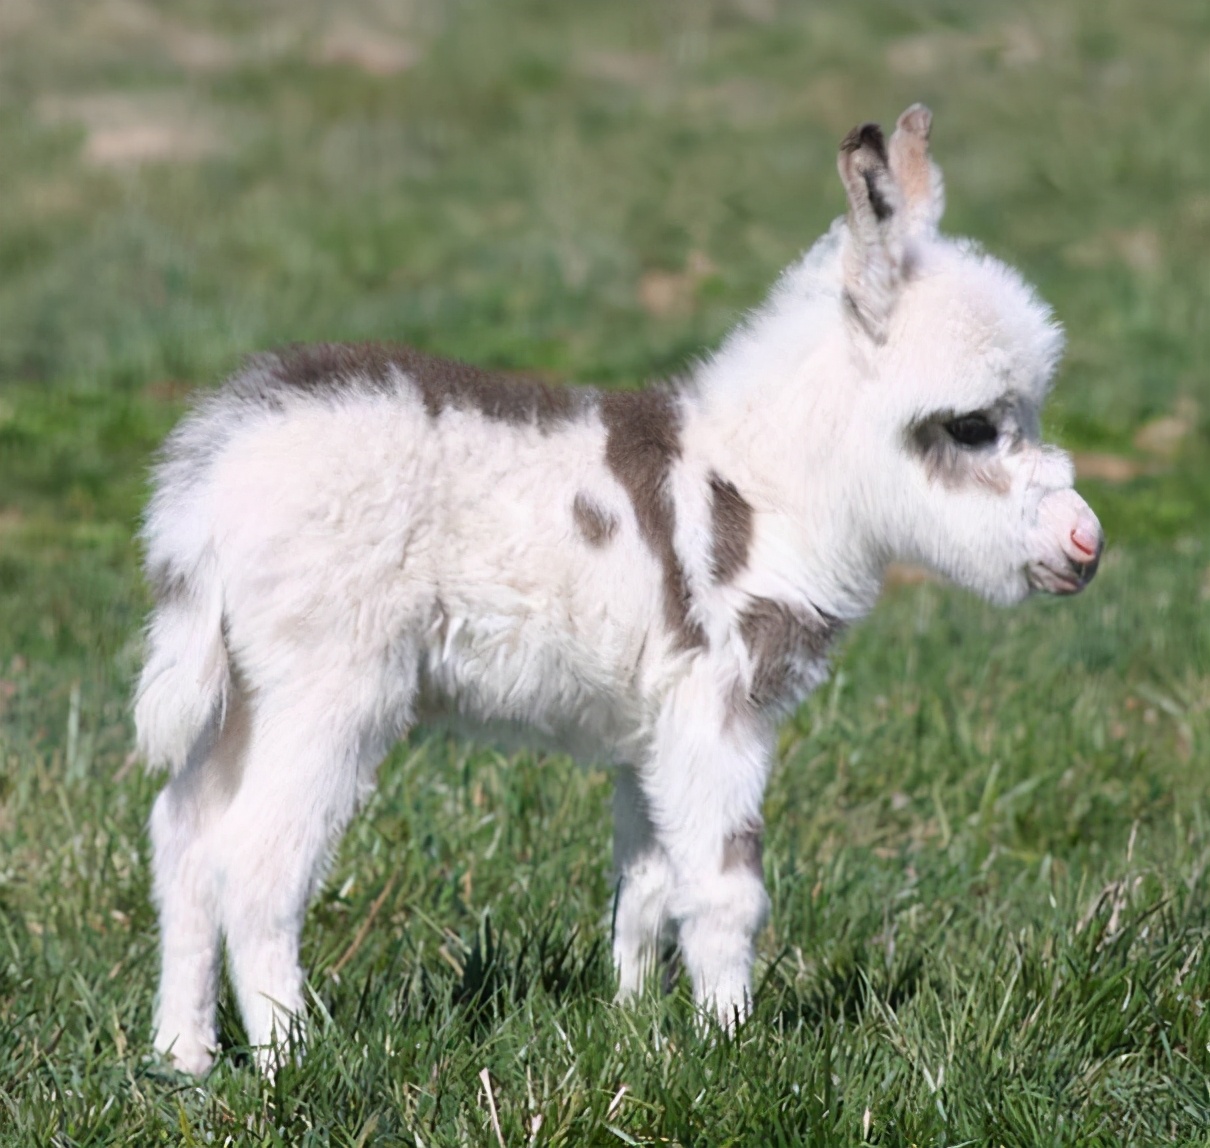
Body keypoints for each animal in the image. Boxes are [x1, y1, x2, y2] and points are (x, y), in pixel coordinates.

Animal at [134, 102, 1108, 1069]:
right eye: (972, 426)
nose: (1086, 544)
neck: (769, 484)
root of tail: (214, 465)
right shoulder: (720, 712)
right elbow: (725, 889)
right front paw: (732, 1046)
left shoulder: (652, 734)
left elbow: (645, 886)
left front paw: (640, 1027)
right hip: (331, 687)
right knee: (255, 864)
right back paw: (291, 1059)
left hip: (244, 691)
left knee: (184, 838)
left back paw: (185, 1057)